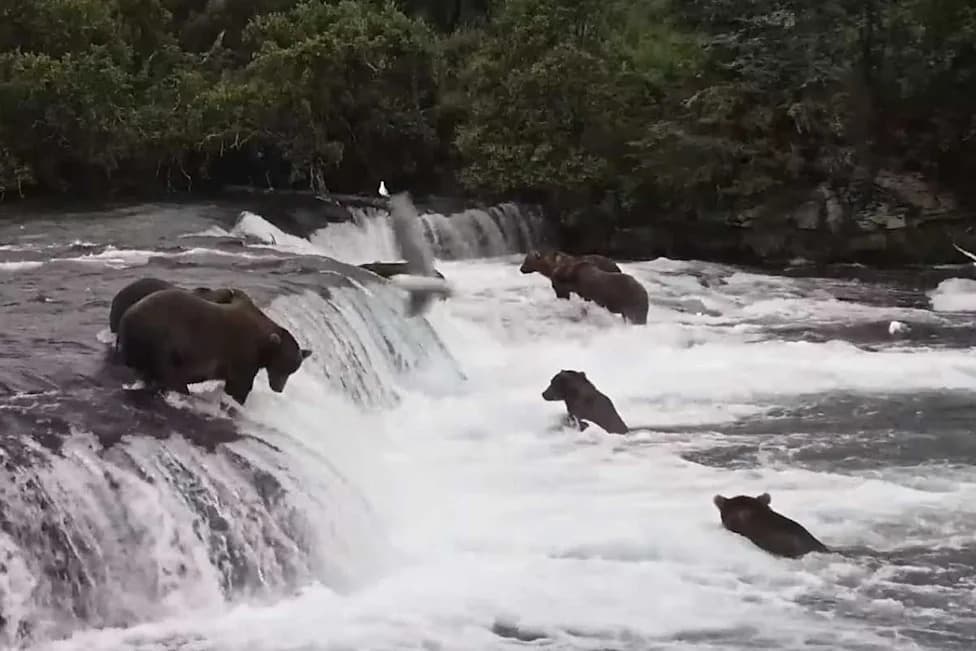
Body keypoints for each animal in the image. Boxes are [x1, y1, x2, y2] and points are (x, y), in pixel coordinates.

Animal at [117, 287, 312, 405]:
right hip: (159, 340)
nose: (278, 388)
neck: (264, 346)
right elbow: (239, 385)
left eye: (292, 370)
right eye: (283, 366)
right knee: (169, 373)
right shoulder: (243, 354)